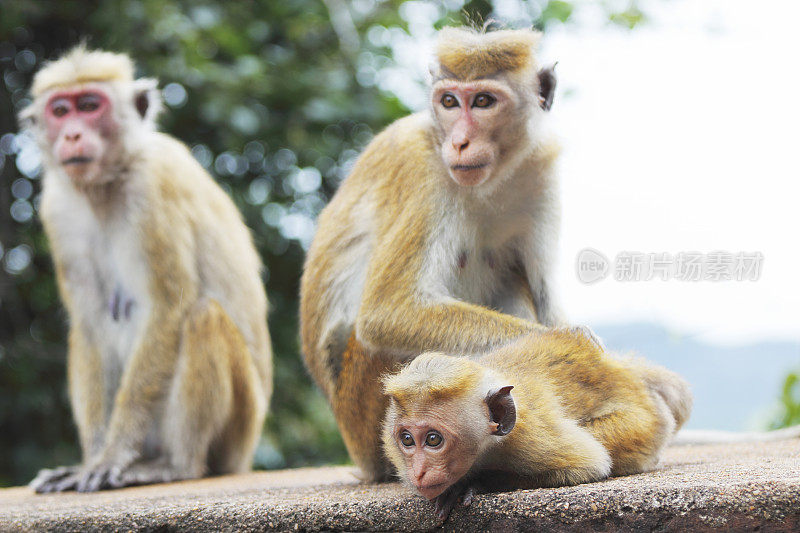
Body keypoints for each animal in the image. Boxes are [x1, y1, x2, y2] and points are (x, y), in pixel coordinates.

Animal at [18, 45, 274, 490]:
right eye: (60, 110)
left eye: (90, 106)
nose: (71, 135)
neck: (107, 185)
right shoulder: (58, 207)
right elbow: (89, 324)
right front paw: (90, 460)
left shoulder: (154, 186)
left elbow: (168, 308)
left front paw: (112, 455)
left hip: (240, 427)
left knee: (202, 316)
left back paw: (175, 465)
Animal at [298, 27, 576, 480]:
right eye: (448, 102)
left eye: (483, 101)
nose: (459, 142)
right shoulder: (420, 171)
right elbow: (388, 311)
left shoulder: (541, 172)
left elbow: (545, 293)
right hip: (365, 415)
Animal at [382, 328, 692, 520]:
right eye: (407, 439)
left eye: (433, 440)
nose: (418, 472)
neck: (488, 446)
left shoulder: (532, 436)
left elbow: (588, 464)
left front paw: (472, 484)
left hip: (647, 423)